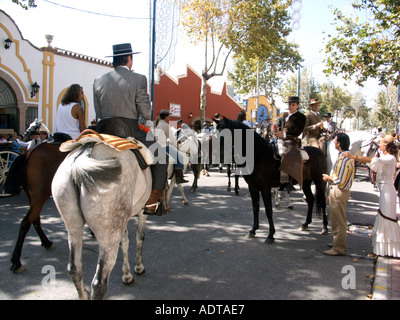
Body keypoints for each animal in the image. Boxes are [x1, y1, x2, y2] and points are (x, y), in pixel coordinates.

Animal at [51, 139, 152, 298]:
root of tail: (84, 156)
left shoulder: (122, 220)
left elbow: (125, 242)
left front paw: (127, 275)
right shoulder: (142, 212)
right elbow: (139, 238)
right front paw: (138, 268)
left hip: (74, 227)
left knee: (74, 268)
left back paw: (83, 294)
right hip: (108, 236)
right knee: (99, 283)